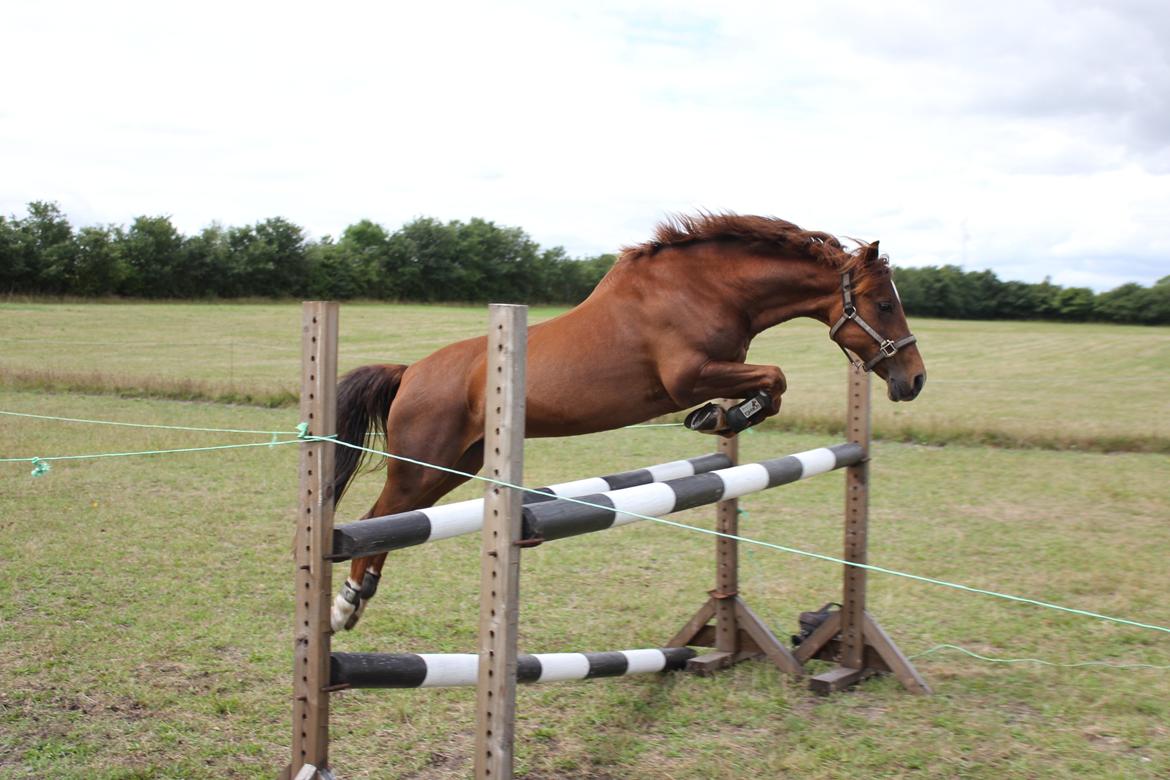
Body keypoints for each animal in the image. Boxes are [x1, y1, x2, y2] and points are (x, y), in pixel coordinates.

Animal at [327, 215, 921, 636]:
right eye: (883, 304)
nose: (913, 381)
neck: (711, 288)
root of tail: (410, 371)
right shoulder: (689, 376)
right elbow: (775, 378)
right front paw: (720, 415)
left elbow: (770, 387)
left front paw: (724, 416)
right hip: (422, 463)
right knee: (376, 517)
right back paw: (345, 605)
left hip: (452, 466)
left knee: (393, 521)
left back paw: (361, 596)